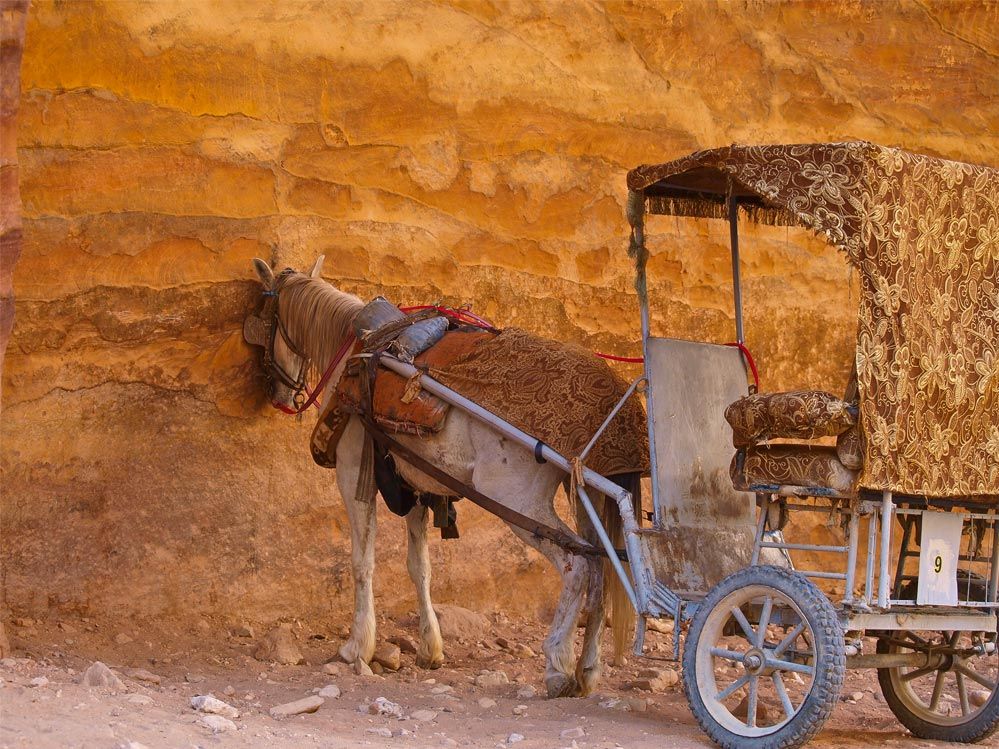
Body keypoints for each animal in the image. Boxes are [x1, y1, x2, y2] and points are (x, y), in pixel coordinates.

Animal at [250, 256, 640, 696]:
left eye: (264, 317)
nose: (276, 394)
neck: (358, 348)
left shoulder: (354, 477)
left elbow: (361, 562)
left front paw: (357, 646)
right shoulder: (417, 486)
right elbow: (419, 568)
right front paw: (430, 648)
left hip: (516, 502)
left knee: (578, 567)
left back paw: (558, 664)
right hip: (588, 501)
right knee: (602, 568)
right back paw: (588, 669)